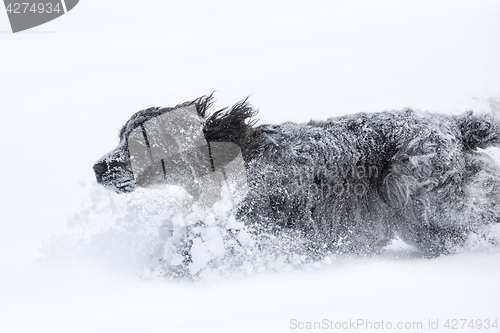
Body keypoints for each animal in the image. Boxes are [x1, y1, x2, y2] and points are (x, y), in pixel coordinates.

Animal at [93, 94, 500, 255]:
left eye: (136, 144)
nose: (98, 167)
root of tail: (453, 125)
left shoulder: (267, 218)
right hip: (420, 218)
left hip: (415, 189)